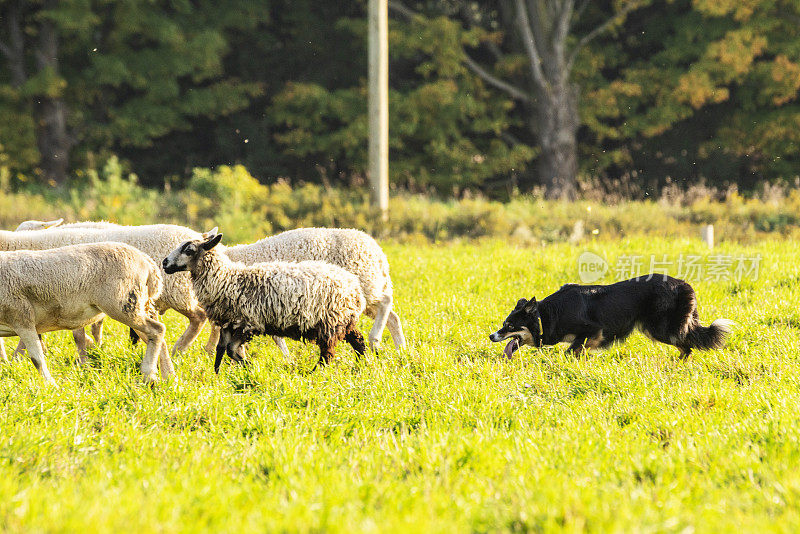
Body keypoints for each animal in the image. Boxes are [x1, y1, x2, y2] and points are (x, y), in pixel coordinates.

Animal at [0, 243, 173, 386]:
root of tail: (147, 262)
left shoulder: (22, 317)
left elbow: (37, 357)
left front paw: (51, 385)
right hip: (137, 305)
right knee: (157, 338)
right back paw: (168, 377)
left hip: (123, 304)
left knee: (157, 330)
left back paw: (149, 375)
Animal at [166, 234, 372, 372]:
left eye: (188, 250)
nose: (164, 263)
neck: (227, 280)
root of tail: (355, 288)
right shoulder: (228, 323)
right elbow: (220, 350)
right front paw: (217, 375)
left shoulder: (248, 323)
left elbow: (232, 350)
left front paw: (249, 368)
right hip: (344, 319)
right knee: (358, 339)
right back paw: (362, 364)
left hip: (330, 322)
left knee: (328, 353)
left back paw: (316, 373)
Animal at [209, 227, 404, 360]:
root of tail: (379, 254)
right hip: (363, 293)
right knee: (392, 317)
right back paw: (402, 351)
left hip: (363, 285)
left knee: (386, 301)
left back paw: (375, 339)